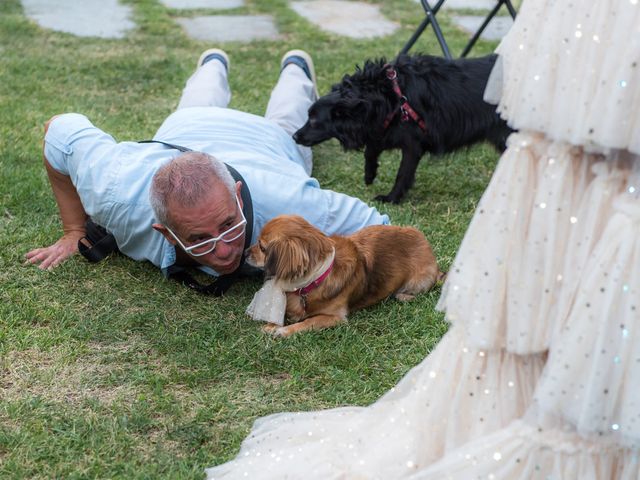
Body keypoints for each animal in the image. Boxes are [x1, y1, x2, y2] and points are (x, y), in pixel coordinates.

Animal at [246, 216, 444, 336]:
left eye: (262, 247)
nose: (246, 252)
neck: (311, 281)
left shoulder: (334, 318)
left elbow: (307, 322)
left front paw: (284, 331)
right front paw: (273, 325)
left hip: (419, 281)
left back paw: (403, 295)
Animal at [292, 54, 512, 202]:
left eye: (313, 121)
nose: (294, 136)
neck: (388, 97)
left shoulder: (413, 145)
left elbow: (403, 174)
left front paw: (391, 198)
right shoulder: (385, 127)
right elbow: (371, 149)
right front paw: (370, 174)